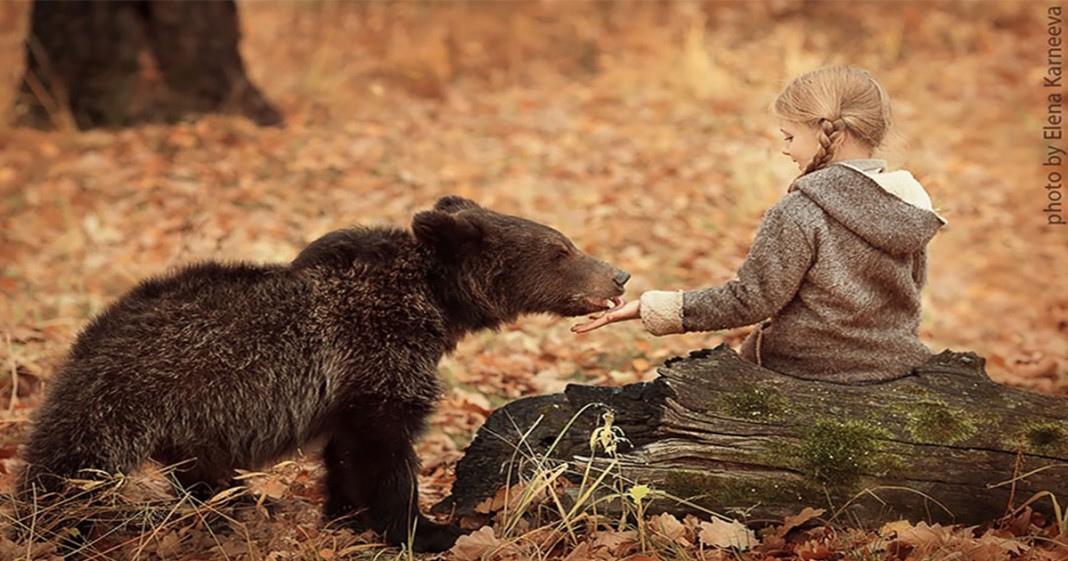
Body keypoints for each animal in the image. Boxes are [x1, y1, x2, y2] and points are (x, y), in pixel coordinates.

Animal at [16, 195, 627, 551]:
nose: (617, 275)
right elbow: (384, 452)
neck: (435, 303)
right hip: (128, 398)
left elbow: (345, 453)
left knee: (200, 474)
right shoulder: (376, 358)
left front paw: (346, 516)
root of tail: (87, 337)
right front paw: (425, 529)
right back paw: (50, 529)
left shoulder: (349, 387)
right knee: (66, 473)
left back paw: (241, 507)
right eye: (561, 249)